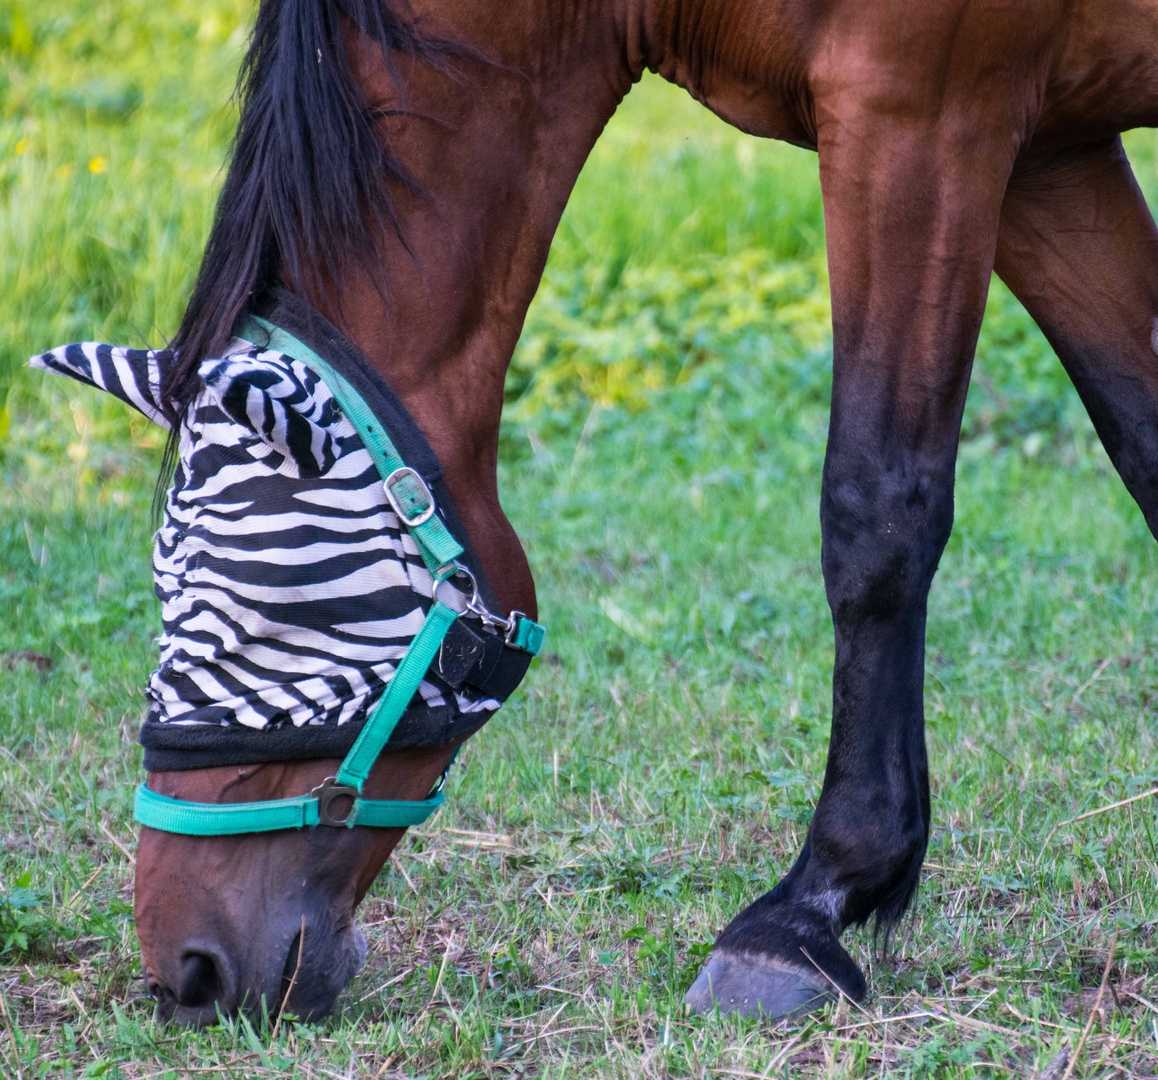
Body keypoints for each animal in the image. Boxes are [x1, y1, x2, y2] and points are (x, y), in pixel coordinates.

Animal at [31, 0, 1158, 1027]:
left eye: (266, 614)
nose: (186, 973)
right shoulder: (1043, 147)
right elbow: (1145, 443)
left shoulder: (924, 113)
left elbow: (876, 505)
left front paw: (811, 907)